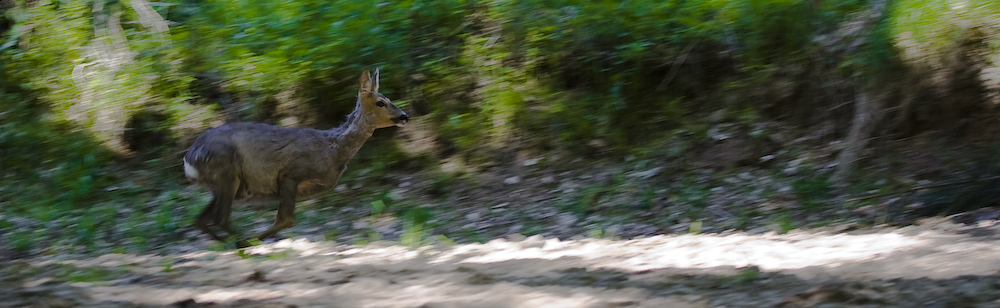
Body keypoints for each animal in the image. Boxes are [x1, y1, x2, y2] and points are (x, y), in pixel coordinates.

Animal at [184, 68, 406, 244]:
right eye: (380, 102)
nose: (404, 116)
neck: (333, 150)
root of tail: (189, 158)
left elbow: (285, 220)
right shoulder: (291, 174)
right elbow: (286, 219)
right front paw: (254, 239)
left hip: (222, 184)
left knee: (201, 220)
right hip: (227, 172)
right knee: (220, 217)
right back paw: (243, 242)